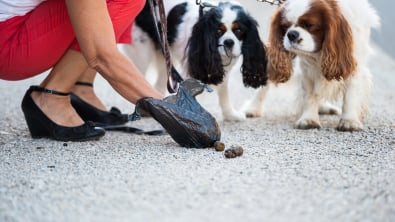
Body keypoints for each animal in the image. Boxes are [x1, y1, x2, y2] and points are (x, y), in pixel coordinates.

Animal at [266, 0, 380, 130]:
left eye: (309, 25)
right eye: (285, 26)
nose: (291, 34)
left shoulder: (355, 69)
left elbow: (351, 97)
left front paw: (349, 121)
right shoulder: (307, 70)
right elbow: (310, 95)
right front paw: (309, 119)